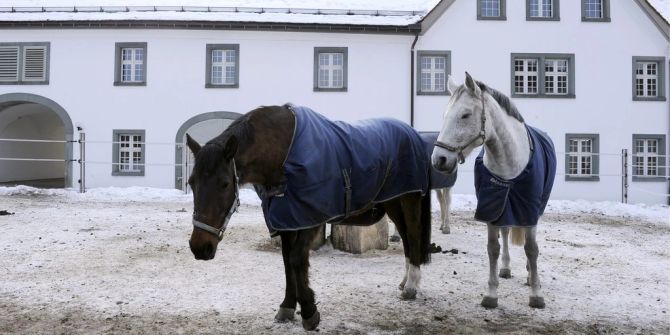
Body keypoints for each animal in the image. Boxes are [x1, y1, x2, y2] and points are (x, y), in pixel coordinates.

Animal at [185, 105, 436, 330]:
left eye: (225, 183)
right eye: (191, 182)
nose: (200, 247)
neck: (284, 155)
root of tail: (412, 133)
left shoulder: (310, 218)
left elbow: (297, 259)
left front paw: (308, 310)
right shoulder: (287, 219)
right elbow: (287, 261)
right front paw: (287, 306)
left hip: (409, 198)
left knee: (413, 234)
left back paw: (411, 286)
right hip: (393, 201)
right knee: (405, 236)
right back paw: (405, 281)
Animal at [430, 73, 556, 310]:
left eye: (465, 115)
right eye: (444, 115)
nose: (439, 160)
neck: (508, 162)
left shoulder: (529, 210)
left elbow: (531, 249)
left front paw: (536, 294)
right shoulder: (491, 207)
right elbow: (493, 248)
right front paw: (491, 294)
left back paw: (529, 276)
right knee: (505, 232)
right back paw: (505, 268)